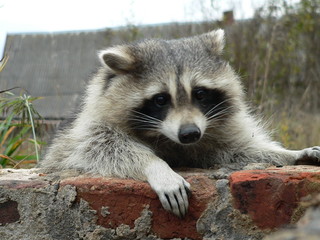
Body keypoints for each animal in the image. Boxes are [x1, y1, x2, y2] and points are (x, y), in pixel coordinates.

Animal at [42, 29, 320, 218]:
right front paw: (155, 165)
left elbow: (235, 149)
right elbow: (99, 147)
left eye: (200, 93)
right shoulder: (90, 126)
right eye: (160, 99)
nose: (189, 134)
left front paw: (289, 153)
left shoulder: (211, 129)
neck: (164, 135)